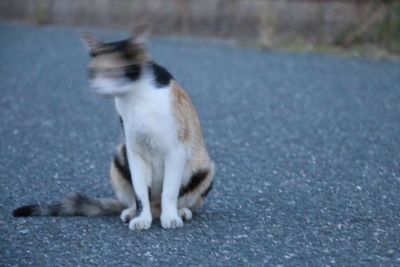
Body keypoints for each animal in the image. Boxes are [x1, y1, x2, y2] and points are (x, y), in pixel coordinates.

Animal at [13, 24, 216, 230]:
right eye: (92, 71)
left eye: (111, 71)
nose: (95, 87)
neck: (137, 96)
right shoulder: (133, 150)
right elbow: (140, 192)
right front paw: (141, 219)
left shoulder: (176, 150)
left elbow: (169, 191)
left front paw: (171, 218)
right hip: (120, 154)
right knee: (138, 200)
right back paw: (131, 212)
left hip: (205, 167)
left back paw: (180, 212)